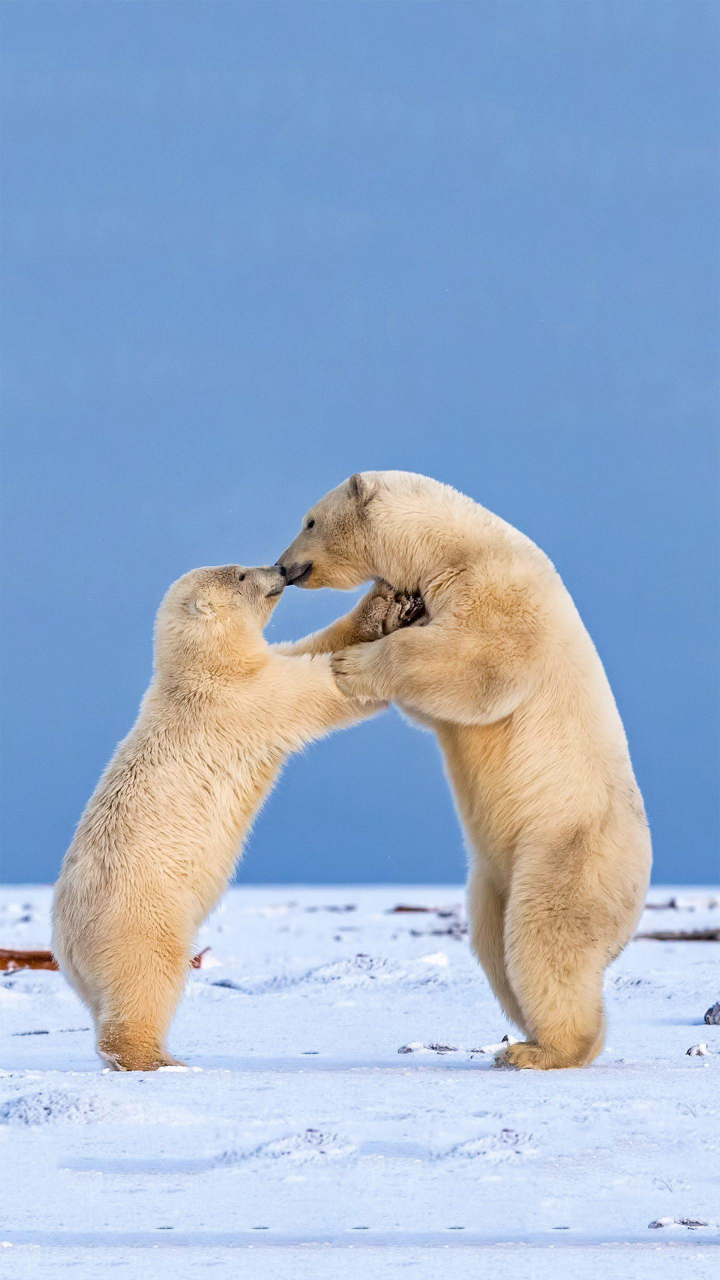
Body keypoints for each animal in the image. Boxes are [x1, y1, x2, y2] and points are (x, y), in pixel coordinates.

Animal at [53, 565, 417, 1064]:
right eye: (242, 574)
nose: (280, 569)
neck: (200, 671)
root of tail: (64, 946)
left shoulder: (252, 673)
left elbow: (309, 647)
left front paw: (383, 608)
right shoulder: (241, 702)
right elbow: (319, 687)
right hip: (140, 916)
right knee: (147, 980)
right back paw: (158, 1058)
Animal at [275, 471, 650, 1070]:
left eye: (309, 520)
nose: (285, 567)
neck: (454, 546)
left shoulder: (499, 593)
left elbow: (476, 663)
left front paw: (352, 664)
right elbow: (437, 704)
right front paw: (384, 610)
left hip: (568, 850)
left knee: (545, 940)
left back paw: (541, 1051)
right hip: (494, 878)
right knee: (496, 946)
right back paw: (523, 1036)